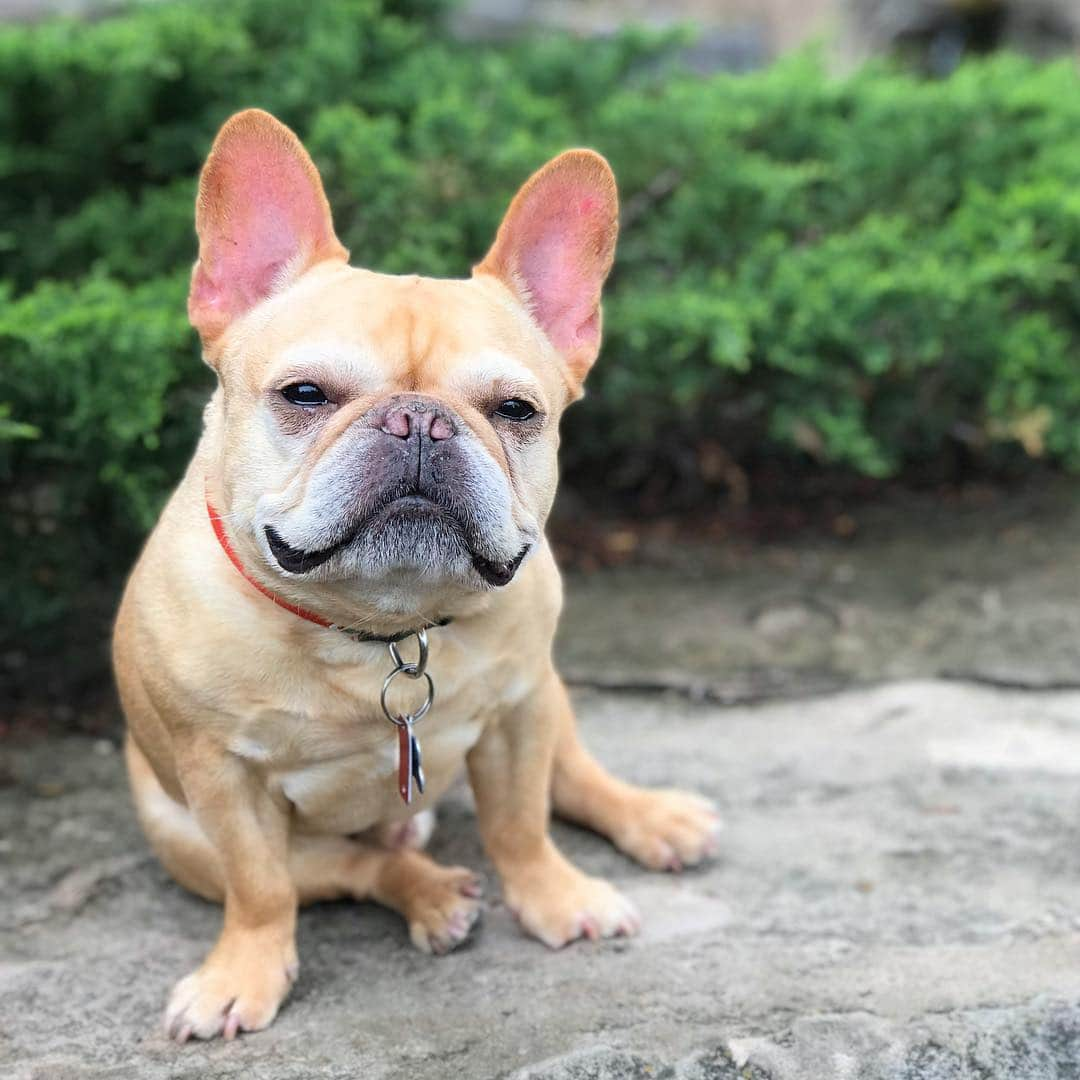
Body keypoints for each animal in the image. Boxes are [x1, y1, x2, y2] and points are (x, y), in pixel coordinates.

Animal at [113, 107, 721, 1036]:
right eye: (304, 394)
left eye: (516, 410)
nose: (421, 422)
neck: (381, 627)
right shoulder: (221, 778)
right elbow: (260, 891)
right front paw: (241, 973)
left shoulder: (518, 712)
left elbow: (522, 824)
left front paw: (553, 895)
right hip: (185, 835)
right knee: (345, 872)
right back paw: (432, 897)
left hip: (552, 699)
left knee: (573, 779)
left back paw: (652, 817)